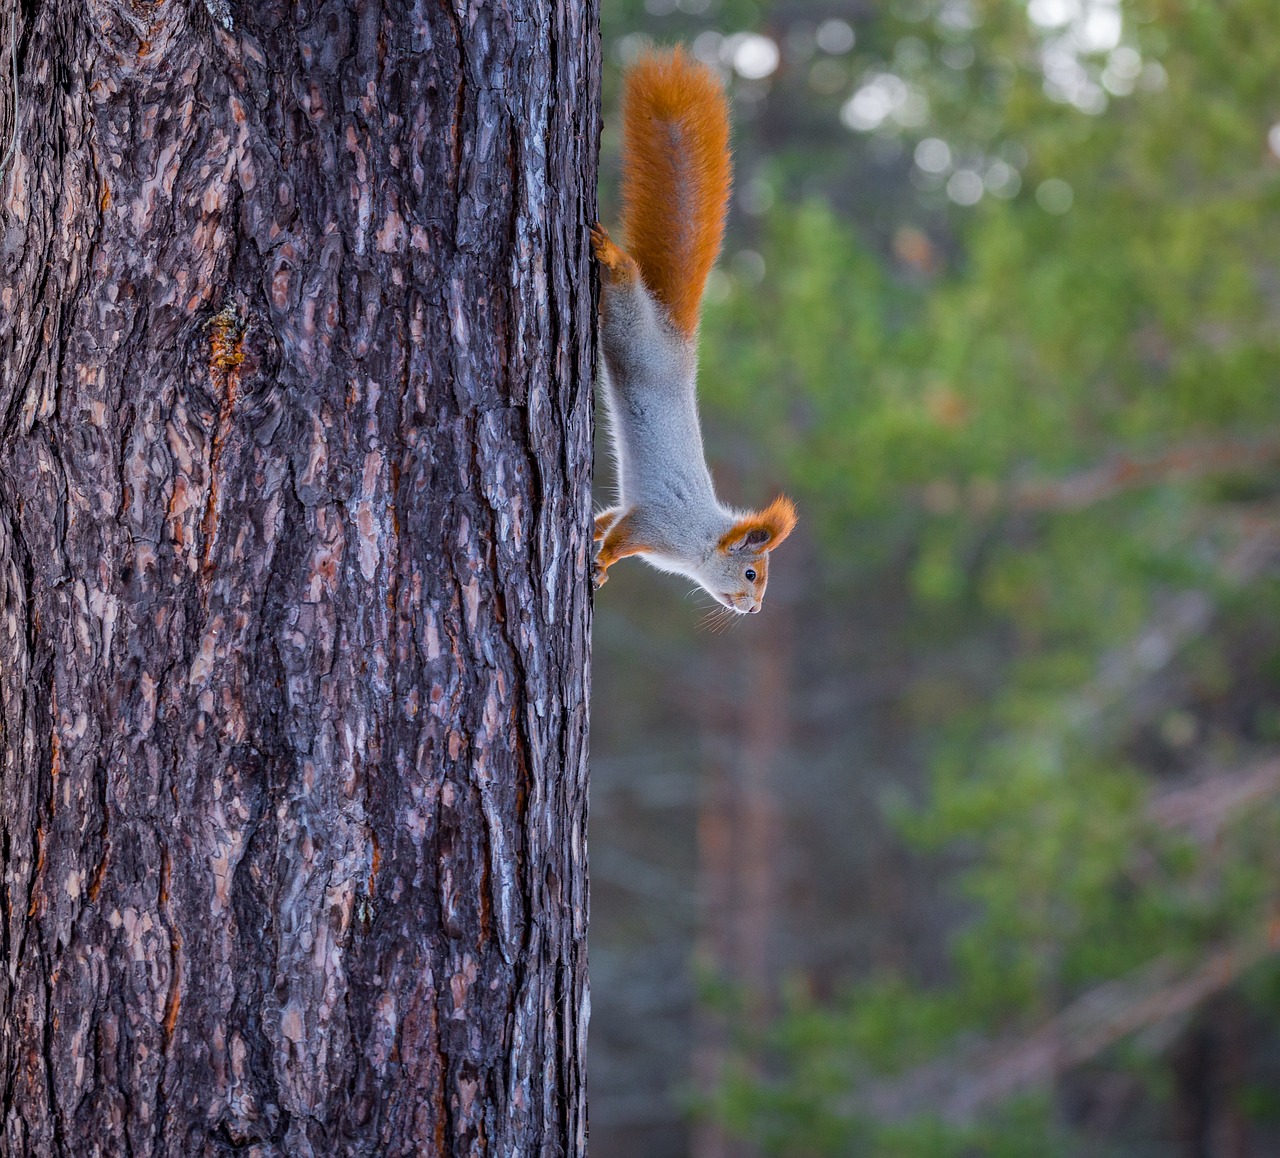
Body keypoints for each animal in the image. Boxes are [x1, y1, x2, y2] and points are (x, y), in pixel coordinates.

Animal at [586, 45, 788, 614]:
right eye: (750, 573)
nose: (755, 609)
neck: (699, 540)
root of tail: (676, 337)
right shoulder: (656, 524)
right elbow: (621, 538)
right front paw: (602, 561)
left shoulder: (635, 514)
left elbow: (609, 520)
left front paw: (591, 540)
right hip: (633, 329)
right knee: (626, 283)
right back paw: (611, 255)